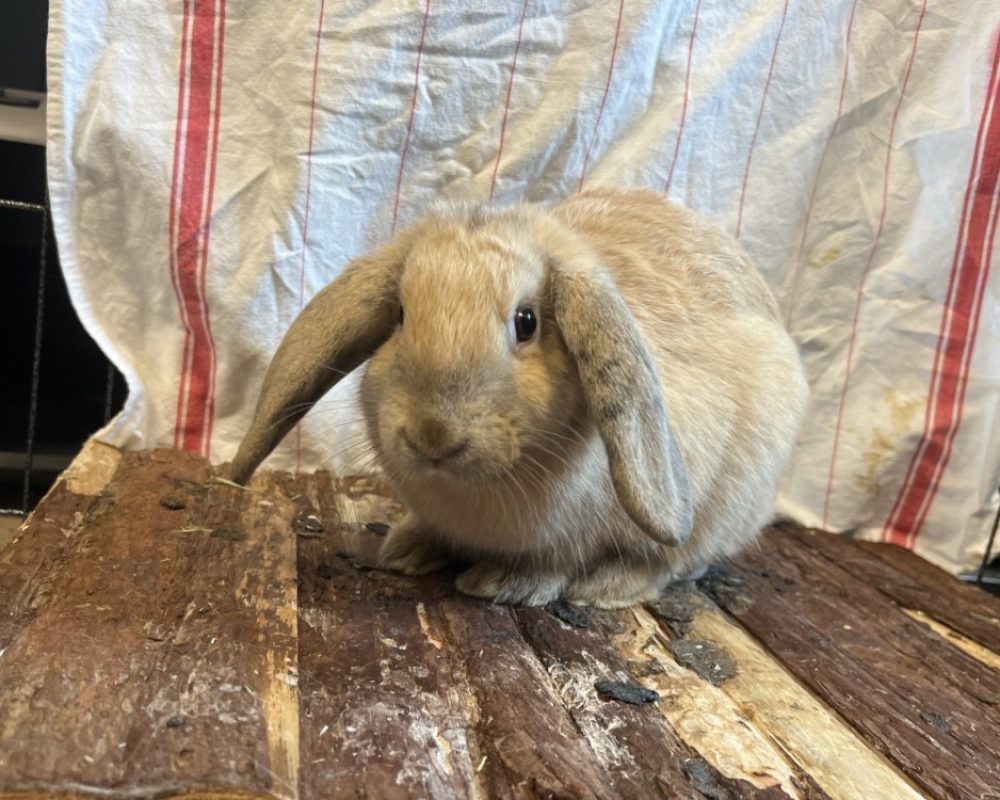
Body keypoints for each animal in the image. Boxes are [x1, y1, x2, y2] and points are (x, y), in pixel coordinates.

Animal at [229, 188, 809, 608]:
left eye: (526, 322)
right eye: (400, 316)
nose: (433, 436)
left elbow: (555, 563)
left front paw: (504, 585)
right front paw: (404, 552)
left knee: (676, 559)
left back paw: (606, 589)